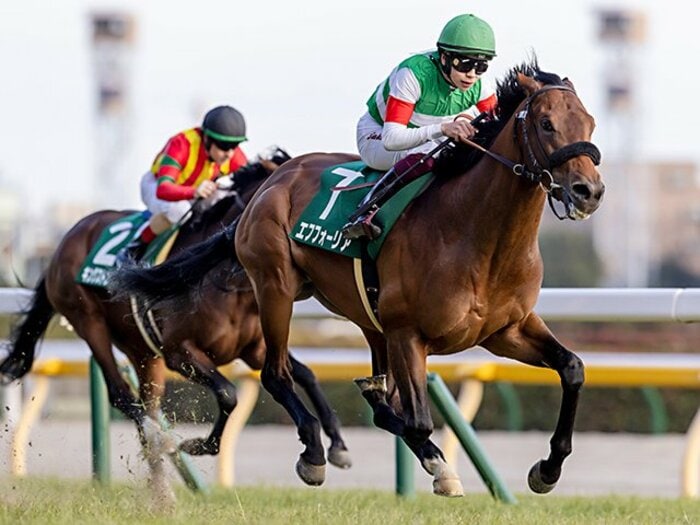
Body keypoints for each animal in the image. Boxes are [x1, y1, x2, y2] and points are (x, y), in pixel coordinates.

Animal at [0, 148, 351, 497]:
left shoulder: (253, 348)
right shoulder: (179, 352)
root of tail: (66, 239)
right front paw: (199, 445)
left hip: (143, 353)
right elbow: (228, 393)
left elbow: (305, 375)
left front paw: (337, 446)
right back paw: (161, 442)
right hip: (89, 322)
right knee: (120, 393)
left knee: (147, 402)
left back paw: (160, 489)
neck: (226, 283)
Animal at [111, 59, 605, 496]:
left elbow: (573, 369)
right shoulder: (408, 333)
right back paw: (311, 452)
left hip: (362, 315)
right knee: (277, 374)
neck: (477, 236)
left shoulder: (506, 330)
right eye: (545, 123)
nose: (589, 192)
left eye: (590, 123)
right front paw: (440, 468)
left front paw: (547, 469)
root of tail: (272, 183)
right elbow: (418, 420)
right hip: (275, 287)